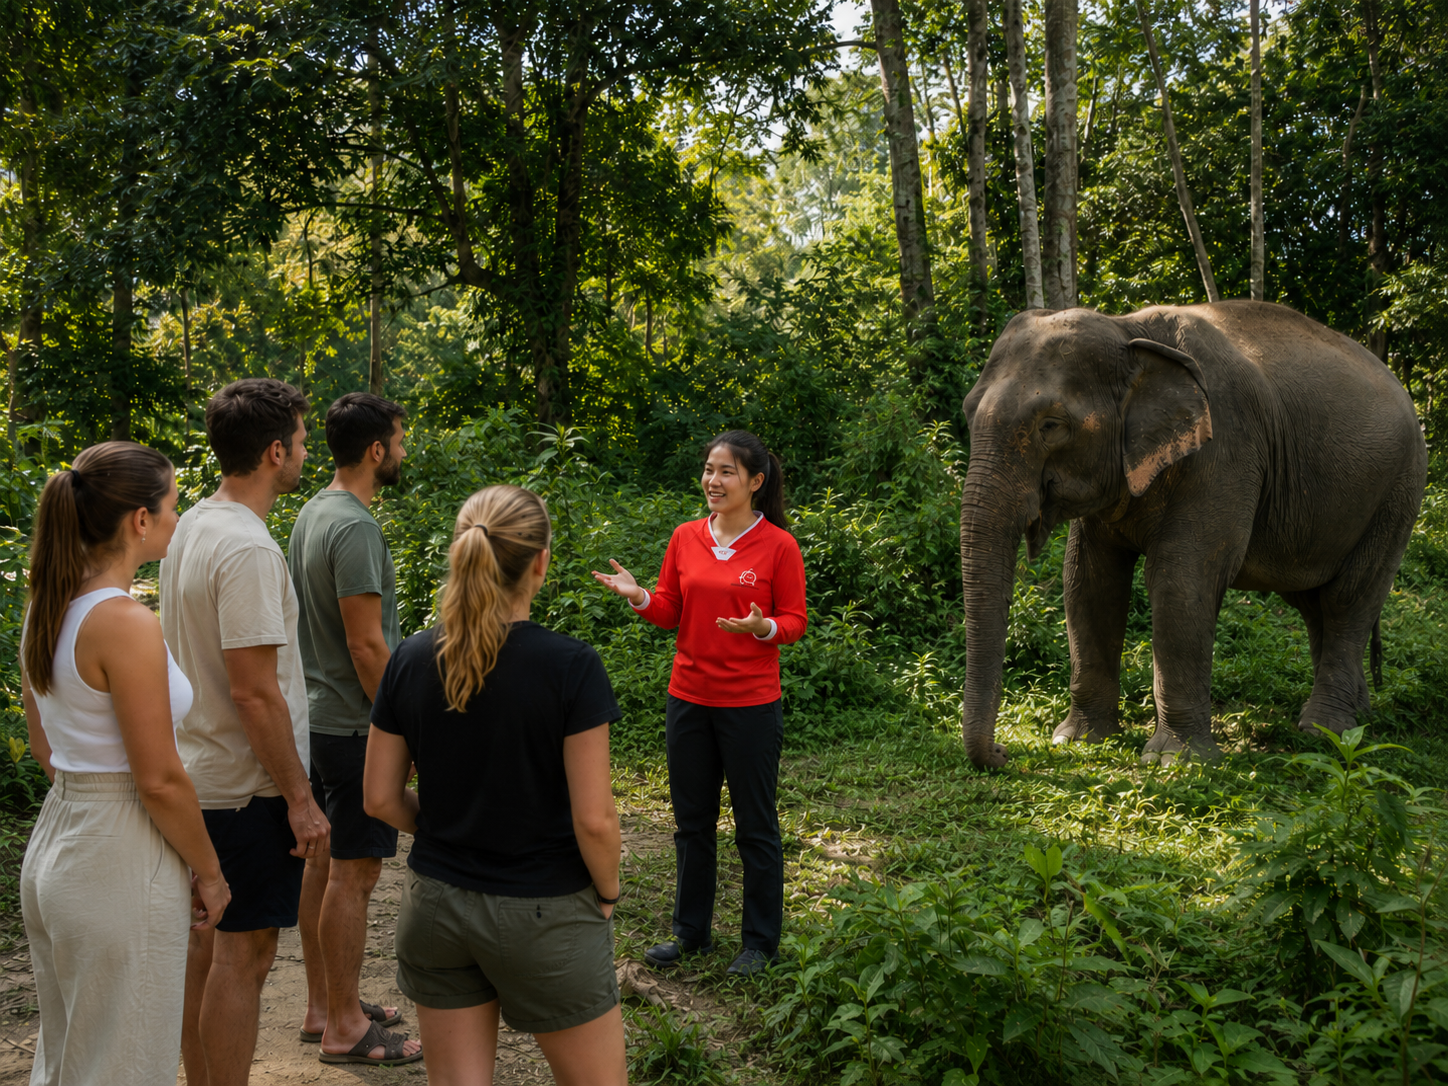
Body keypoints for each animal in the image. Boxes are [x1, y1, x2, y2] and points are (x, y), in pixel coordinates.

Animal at [959, 300, 1427, 769]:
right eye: (968, 411)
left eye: (1052, 425)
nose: (1002, 752)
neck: (1128, 329)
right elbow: (1087, 582)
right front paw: (1078, 741)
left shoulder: (1226, 450)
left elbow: (1181, 582)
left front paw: (1176, 760)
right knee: (1314, 603)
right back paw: (1355, 718)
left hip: (1399, 492)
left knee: (1349, 598)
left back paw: (1325, 732)